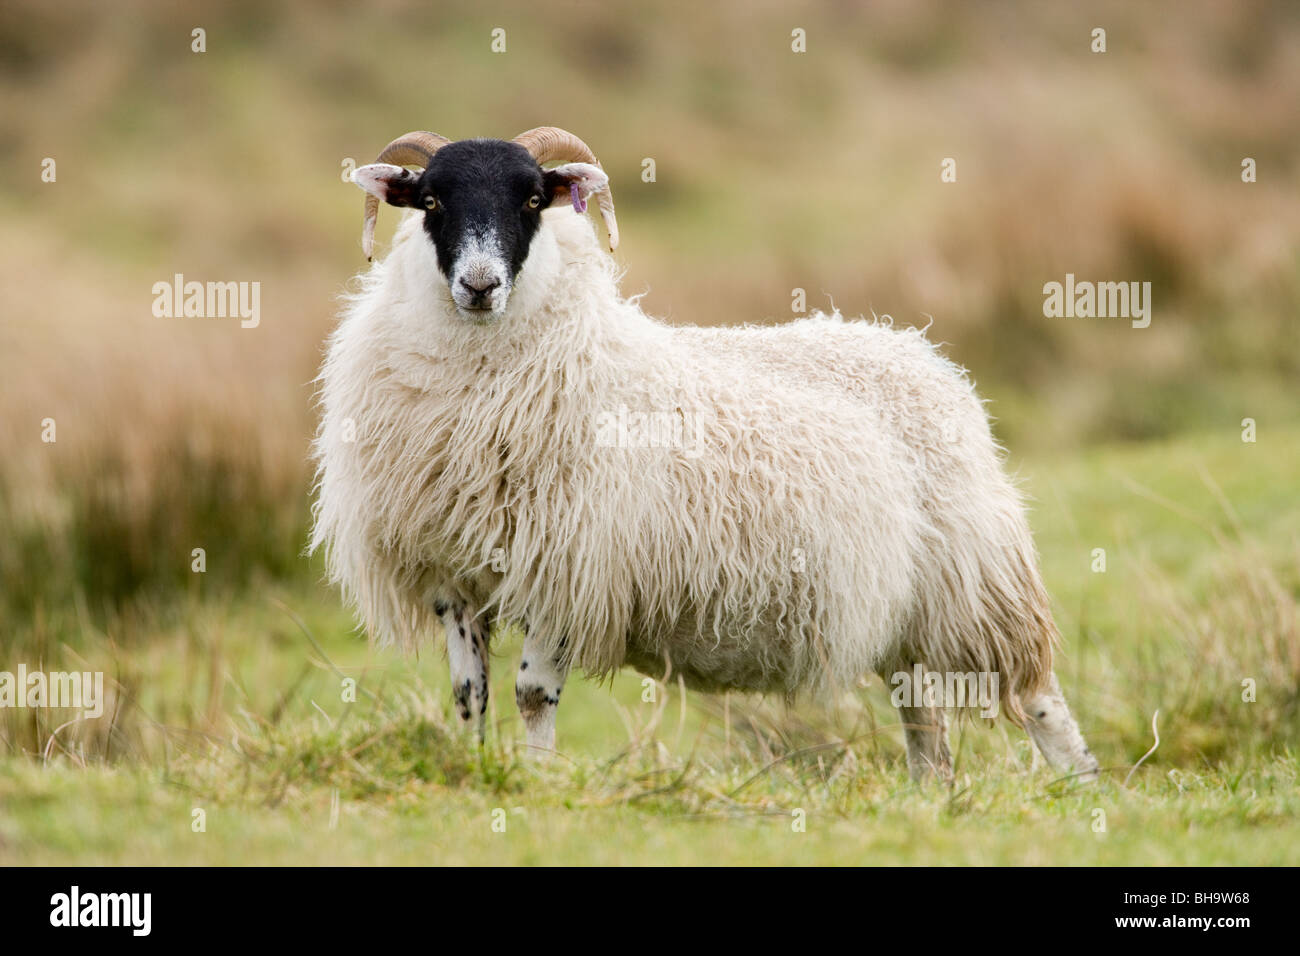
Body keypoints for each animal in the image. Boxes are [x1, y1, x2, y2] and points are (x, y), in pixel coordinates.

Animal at [312, 127, 1097, 780]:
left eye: (533, 199)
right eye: (431, 200)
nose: (480, 285)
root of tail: (922, 353)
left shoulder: (571, 564)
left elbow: (533, 695)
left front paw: (537, 783)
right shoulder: (454, 574)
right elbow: (469, 694)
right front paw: (480, 773)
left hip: (978, 580)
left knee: (1038, 696)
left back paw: (1080, 787)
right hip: (905, 612)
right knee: (925, 720)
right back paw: (929, 798)